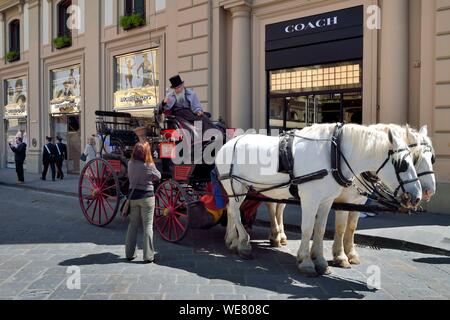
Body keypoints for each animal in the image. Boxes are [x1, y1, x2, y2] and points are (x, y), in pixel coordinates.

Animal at [214, 124, 422, 276]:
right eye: (403, 164)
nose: (418, 196)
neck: (333, 155)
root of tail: (228, 143)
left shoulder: (326, 200)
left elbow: (320, 230)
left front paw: (321, 261)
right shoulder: (310, 199)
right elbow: (307, 229)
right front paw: (306, 261)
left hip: (239, 188)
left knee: (231, 209)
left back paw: (232, 239)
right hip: (235, 185)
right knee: (235, 212)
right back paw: (243, 243)